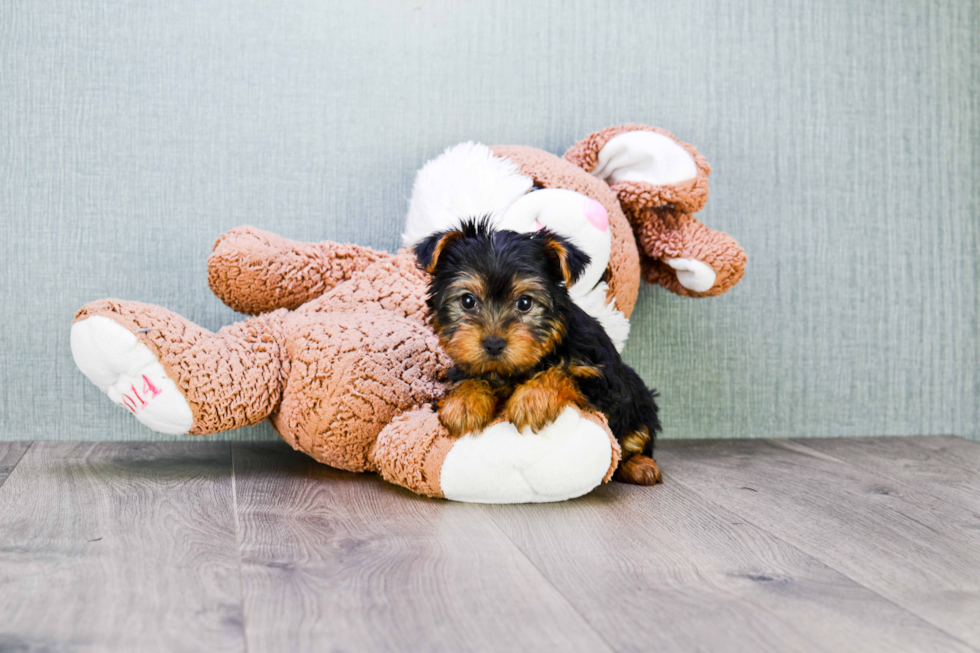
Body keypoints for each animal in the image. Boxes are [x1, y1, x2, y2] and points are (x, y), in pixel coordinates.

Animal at [414, 218, 668, 484]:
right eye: (467, 301)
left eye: (525, 303)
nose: (493, 343)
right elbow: (470, 377)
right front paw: (464, 402)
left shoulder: (605, 384)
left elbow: (563, 372)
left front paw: (531, 399)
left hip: (640, 400)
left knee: (634, 438)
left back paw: (639, 465)